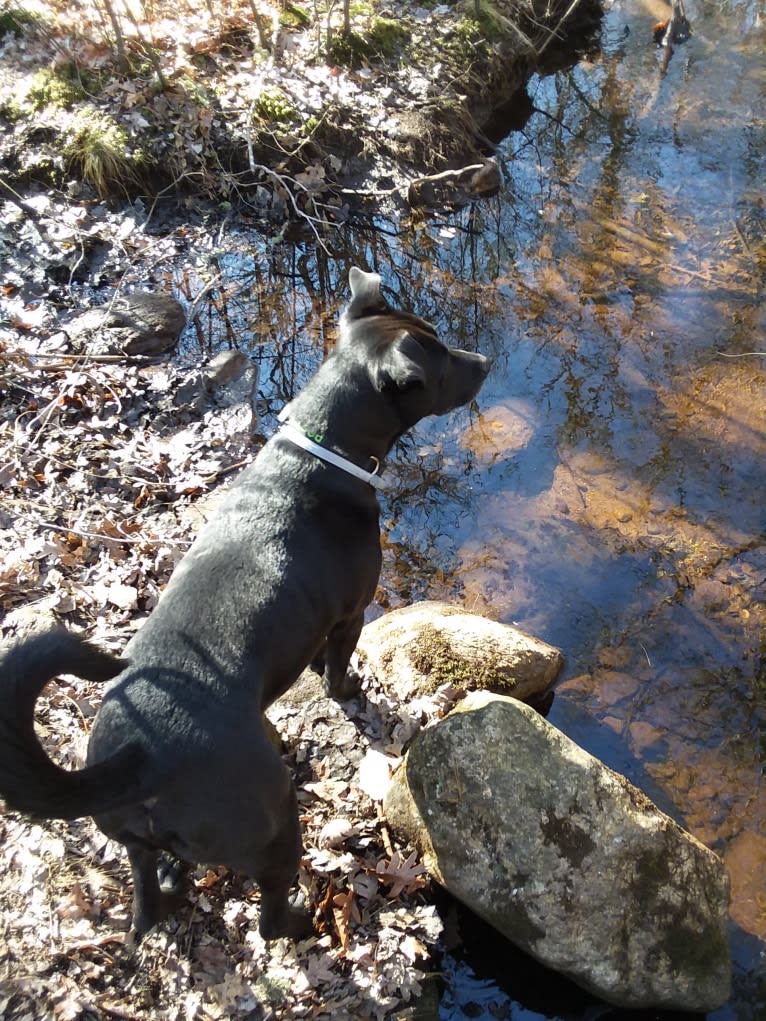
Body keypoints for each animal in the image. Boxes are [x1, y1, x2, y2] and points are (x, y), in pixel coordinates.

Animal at [0, 269, 492, 939]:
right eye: (440, 360)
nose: (485, 361)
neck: (321, 451)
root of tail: (139, 762)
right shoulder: (350, 613)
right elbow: (338, 673)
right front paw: (351, 693)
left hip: (135, 842)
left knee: (147, 897)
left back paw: (166, 894)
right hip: (272, 818)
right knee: (270, 913)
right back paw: (306, 922)